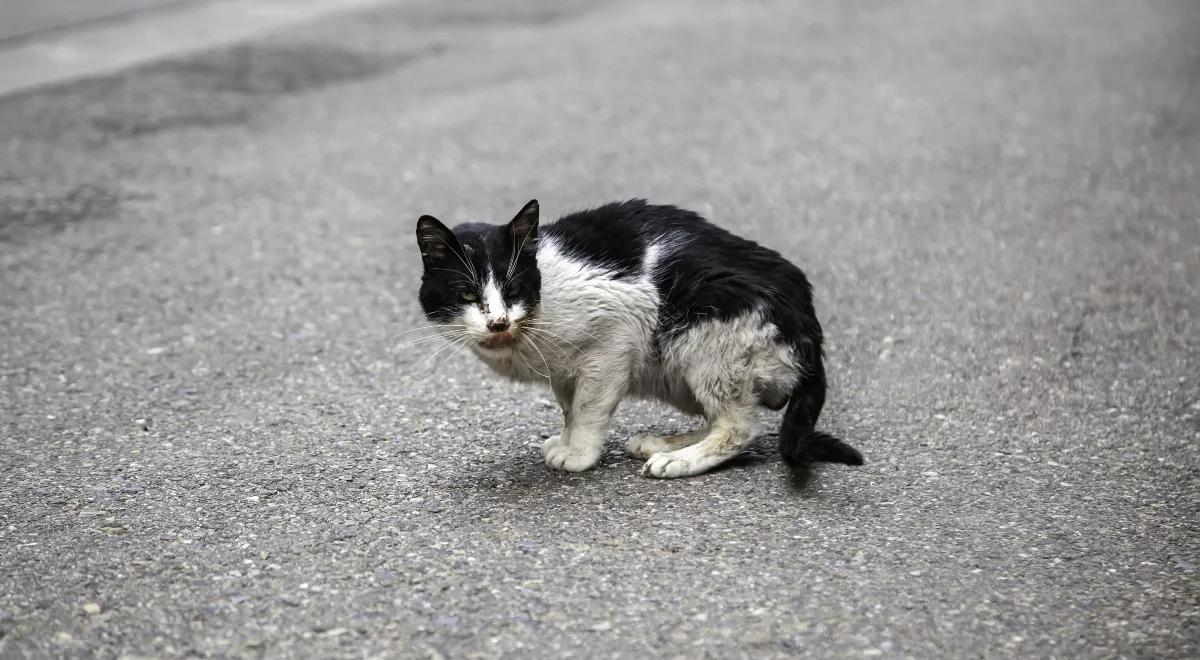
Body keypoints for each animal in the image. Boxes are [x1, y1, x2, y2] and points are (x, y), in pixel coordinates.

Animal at [415, 199, 864, 477]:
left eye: (513, 289)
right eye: (467, 295)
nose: (498, 322)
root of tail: (809, 327)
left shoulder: (614, 338)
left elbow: (588, 409)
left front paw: (578, 454)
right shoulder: (563, 372)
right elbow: (569, 408)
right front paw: (566, 439)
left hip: (704, 330)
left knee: (741, 427)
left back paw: (680, 461)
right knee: (722, 417)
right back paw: (664, 445)